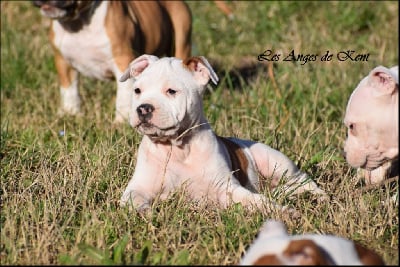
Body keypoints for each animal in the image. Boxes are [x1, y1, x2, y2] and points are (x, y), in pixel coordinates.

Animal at [32, 0, 192, 123]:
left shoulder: (122, 60)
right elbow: (69, 90)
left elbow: (123, 95)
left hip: (181, 40)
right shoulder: (63, 62)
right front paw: (70, 113)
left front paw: (121, 121)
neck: (79, 22)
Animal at [117, 55, 326, 216]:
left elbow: (257, 200)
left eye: (171, 91)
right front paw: (145, 212)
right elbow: (133, 200)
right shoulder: (138, 187)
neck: (177, 149)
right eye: (137, 91)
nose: (143, 108)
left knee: (304, 180)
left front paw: (282, 211)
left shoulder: (227, 188)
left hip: (275, 161)